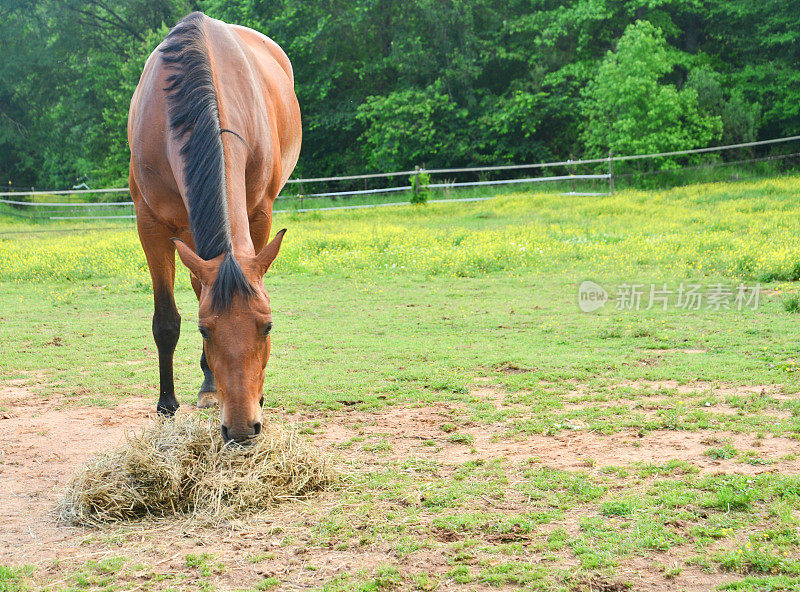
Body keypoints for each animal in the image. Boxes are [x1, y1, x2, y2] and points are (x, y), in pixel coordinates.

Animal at [128, 11, 304, 442]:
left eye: (268, 327)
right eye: (205, 331)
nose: (242, 428)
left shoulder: (260, 212)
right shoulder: (149, 223)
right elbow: (166, 320)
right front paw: (166, 407)